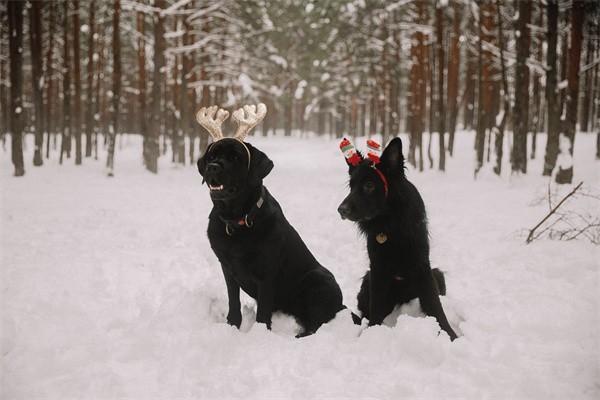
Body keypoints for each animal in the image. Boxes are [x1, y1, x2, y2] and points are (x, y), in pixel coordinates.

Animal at [199, 136, 344, 336]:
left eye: (235, 157)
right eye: (211, 156)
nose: (213, 167)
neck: (237, 220)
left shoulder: (267, 272)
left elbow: (263, 310)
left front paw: (260, 333)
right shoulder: (227, 267)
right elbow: (233, 301)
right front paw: (232, 326)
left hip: (318, 279)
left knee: (315, 325)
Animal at [336, 138, 458, 340]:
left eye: (369, 185)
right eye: (351, 186)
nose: (341, 210)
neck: (390, 224)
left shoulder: (422, 266)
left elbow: (435, 306)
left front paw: (451, 335)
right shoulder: (377, 269)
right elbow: (376, 307)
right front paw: (371, 333)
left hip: (437, 274)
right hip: (368, 281)